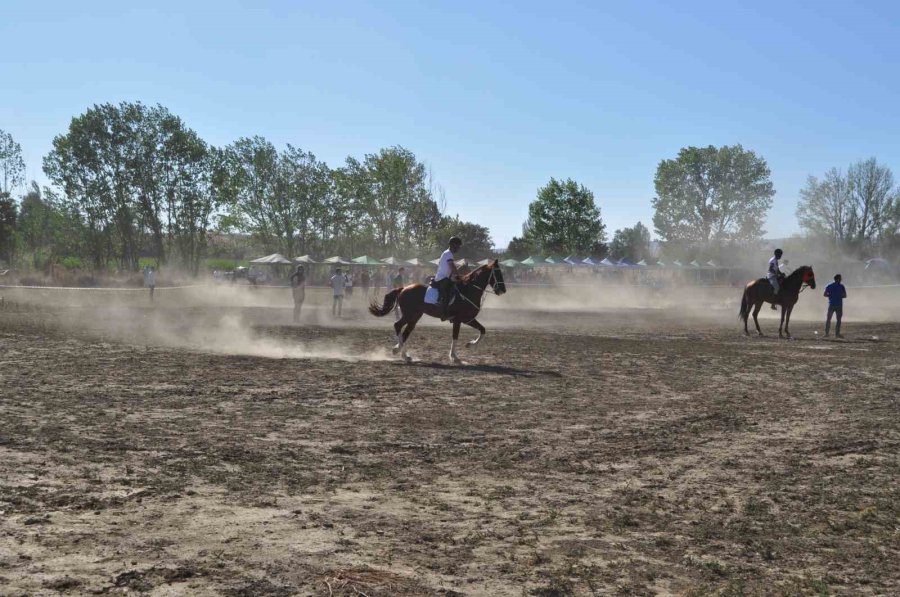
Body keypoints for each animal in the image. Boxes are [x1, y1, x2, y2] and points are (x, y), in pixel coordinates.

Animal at [368, 260, 506, 364]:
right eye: (498, 273)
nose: (503, 290)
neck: (468, 290)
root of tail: (403, 288)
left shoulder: (468, 319)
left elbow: (483, 330)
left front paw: (470, 344)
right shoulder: (458, 320)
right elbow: (455, 337)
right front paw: (454, 357)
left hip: (415, 316)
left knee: (406, 331)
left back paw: (401, 352)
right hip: (408, 314)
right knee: (397, 325)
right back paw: (402, 354)